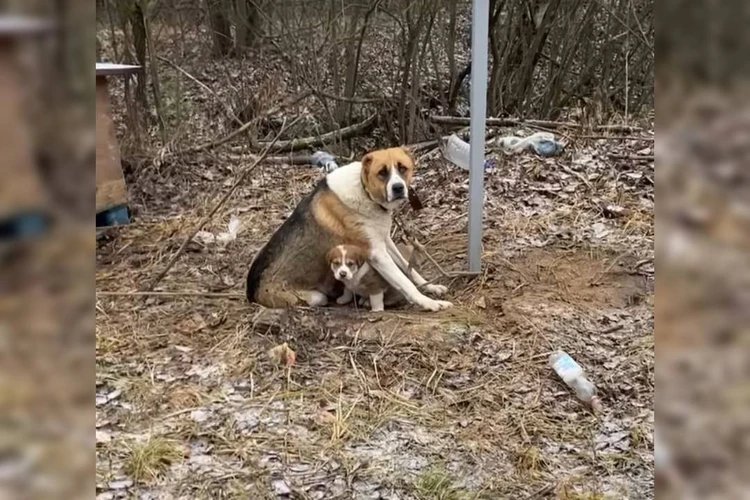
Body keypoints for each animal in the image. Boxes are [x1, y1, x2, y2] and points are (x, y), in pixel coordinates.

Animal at [250, 145, 456, 310]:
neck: (365, 192)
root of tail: (251, 292)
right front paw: (429, 303)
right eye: (382, 172)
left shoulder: (384, 241)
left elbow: (408, 268)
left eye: (403, 168)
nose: (398, 188)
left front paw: (430, 287)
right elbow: (405, 282)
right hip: (315, 297)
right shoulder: (377, 254)